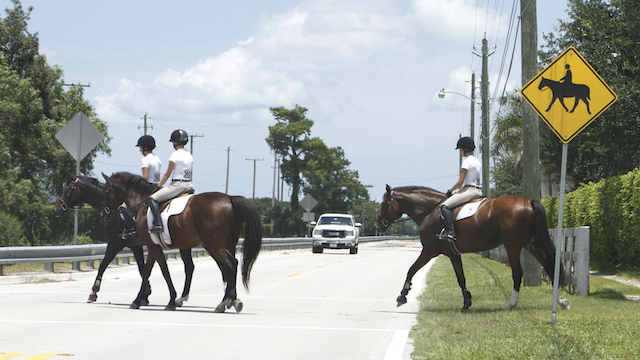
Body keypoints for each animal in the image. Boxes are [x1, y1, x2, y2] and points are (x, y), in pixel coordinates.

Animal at [52, 174, 195, 306]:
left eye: (66, 188)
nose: (55, 209)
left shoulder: (115, 243)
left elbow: (103, 265)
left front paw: (93, 292)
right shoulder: (135, 246)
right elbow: (142, 268)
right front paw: (145, 294)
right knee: (189, 266)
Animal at [101, 172, 262, 312]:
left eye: (107, 190)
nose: (105, 212)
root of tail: (229, 198)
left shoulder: (152, 246)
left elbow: (162, 271)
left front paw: (169, 301)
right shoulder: (156, 245)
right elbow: (150, 271)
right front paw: (141, 300)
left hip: (213, 244)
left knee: (230, 264)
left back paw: (225, 302)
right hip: (227, 243)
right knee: (227, 267)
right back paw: (230, 300)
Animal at [372, 186, 564, 312]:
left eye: (384, 203)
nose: (377, 225)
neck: (431, 212)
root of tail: (528, 201)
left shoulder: (428, 251)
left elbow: (411, 269)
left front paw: (402, 296)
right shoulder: (452, 254)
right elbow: (461, 278)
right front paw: (466, 303)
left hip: (513, 245)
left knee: (518, 273)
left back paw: (511, 305)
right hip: (530, 242)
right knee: (549, 264)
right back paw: (561, 301)